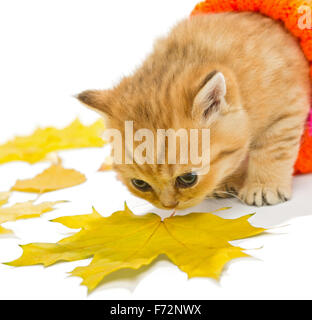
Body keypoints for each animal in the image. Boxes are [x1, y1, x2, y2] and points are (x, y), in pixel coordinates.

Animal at [77, 12, 310, 209]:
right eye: (139, 184)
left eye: (188, 179)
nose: (168, 206)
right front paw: (226, 182)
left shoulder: (288, 109)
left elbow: (272, 150)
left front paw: (263, 186)